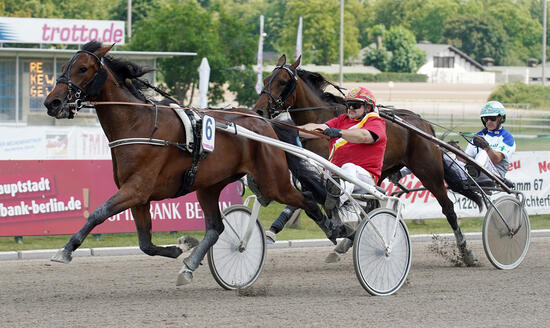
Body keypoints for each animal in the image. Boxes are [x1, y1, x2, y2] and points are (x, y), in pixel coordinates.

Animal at [44, 41, 344, 284]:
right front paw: (182, 246)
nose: (52, 102)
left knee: (308, 201)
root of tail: (264, 123)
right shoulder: (139, 196)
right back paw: (189, 265)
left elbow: (98, 213)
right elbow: (145, 243)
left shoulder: (136, 189)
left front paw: (66, 250)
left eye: (83, 68)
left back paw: (338, 233)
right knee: (216, 227)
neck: (138, 124)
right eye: (65, 66)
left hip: (273, 182)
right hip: (209, 185)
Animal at [254, 53, 484, 264]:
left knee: (448, 208)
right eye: (265, 79)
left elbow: (312, 198)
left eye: (282, 82)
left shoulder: (324, 171)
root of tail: (423, 124)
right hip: (383, 172)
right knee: (373, 204)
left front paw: (335, 228)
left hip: (429, 171)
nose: (259, 110)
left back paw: (465, 252)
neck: (319, 117)